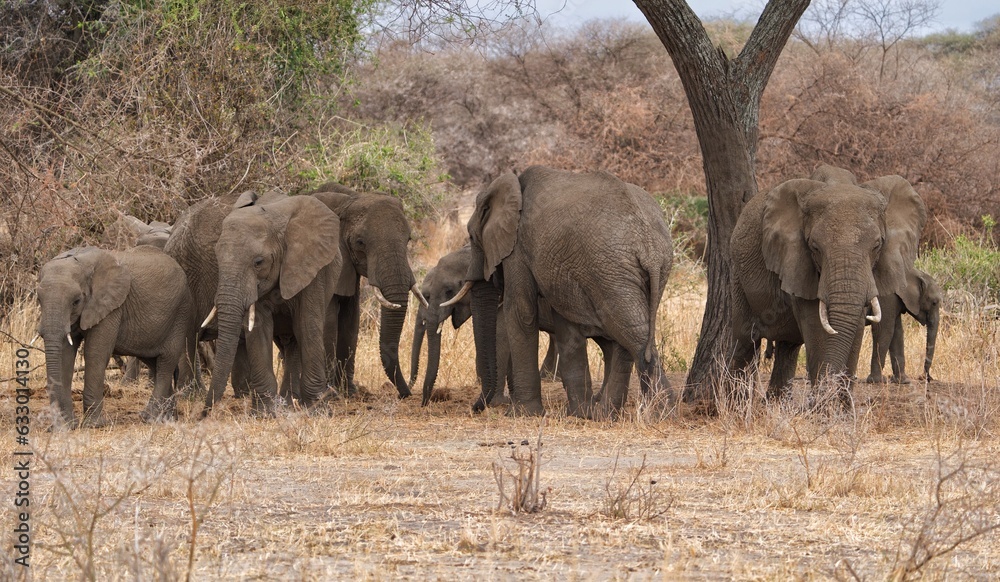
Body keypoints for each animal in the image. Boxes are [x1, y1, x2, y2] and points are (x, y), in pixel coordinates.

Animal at [36, 246, 195, 428]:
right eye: (38, 299)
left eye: (76, 301)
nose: (57, 425)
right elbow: (66, 354)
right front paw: (67, 425)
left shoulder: (111, 308)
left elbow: (95, 353)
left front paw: (94, 425)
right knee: (154, 362)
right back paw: (168, 418)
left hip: (181, 313)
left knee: (166, 363)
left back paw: (149, 417)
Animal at [452, 166, 674, 418]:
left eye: (472, 236)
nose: (476, 408)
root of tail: (649, 247)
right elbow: (564, 322)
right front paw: (579, 413)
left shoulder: (518, 247)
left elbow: (520, 310)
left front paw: (523, 414)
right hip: (640, 270)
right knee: (631, 332)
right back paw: (611, 414)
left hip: (610, 267)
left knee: (630, 332)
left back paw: (658, 412)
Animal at [729, 164, 926, 400]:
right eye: (814, 247)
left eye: (877, 245)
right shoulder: (797, 263)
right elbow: (817, 326)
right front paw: (823, 405)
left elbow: (854, 329)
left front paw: (840, 406)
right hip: (737, 272)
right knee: (745, 340)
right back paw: (736, 403)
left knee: (788, 347)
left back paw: (776, 402)